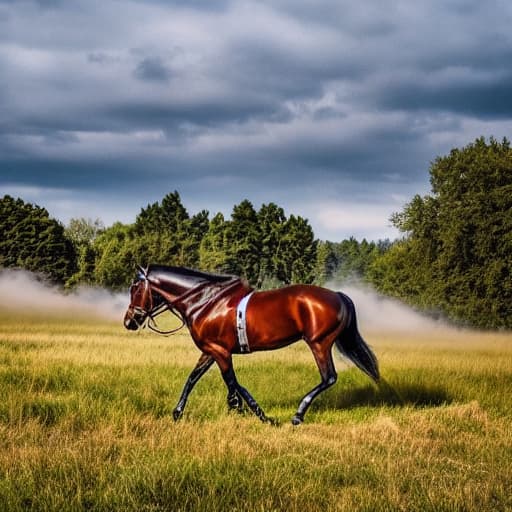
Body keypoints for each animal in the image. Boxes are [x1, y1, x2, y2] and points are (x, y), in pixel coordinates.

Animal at [123, 264, 380, 424]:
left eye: (135, 289)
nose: (129, 321)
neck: (206, 301)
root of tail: (338, 295)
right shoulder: (210, 350)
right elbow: (194, 378)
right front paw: (177, 413)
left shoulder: (220, 351)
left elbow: (233, 382)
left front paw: (254, 413)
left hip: (319, 343)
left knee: (329, 377)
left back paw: (298, 414)